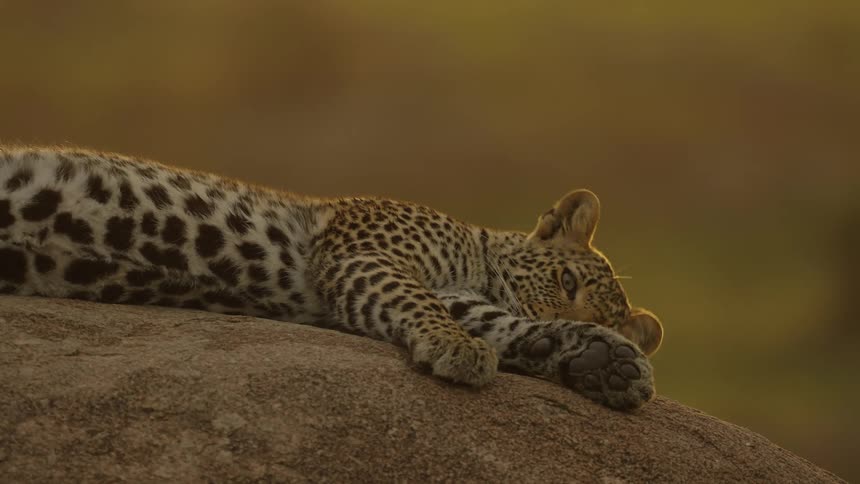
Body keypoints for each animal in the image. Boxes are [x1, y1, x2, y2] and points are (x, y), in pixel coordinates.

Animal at [0, 146, 663, 410]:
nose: (567, 316)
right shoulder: (364, 254)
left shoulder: (453, 295)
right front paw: (457, 349)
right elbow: (418, 300)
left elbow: (499, 322)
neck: (476, 254)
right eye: (567, 283)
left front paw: (604, 361)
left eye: (602, 312)